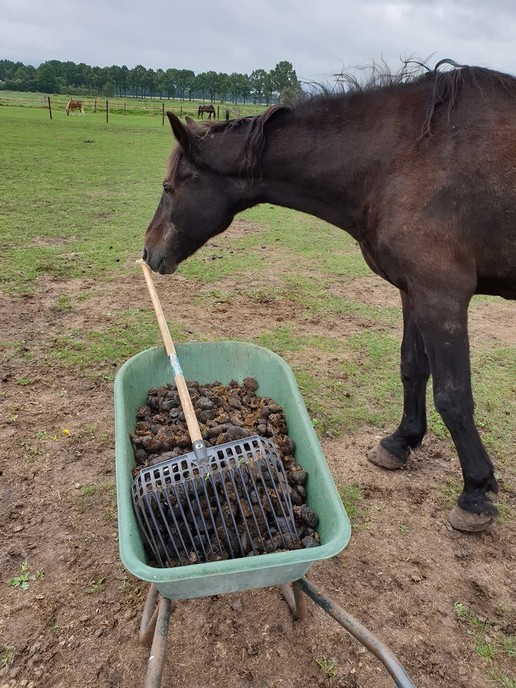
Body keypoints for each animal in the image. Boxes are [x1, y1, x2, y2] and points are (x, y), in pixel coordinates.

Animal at [143, 60, 516, 533]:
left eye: (169, 187)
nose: (147, 252)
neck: (406, 156)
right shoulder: (413, 292)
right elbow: (412, 369)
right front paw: (399, 443)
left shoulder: (442, 296)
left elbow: (453, 396)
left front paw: (475, 495)